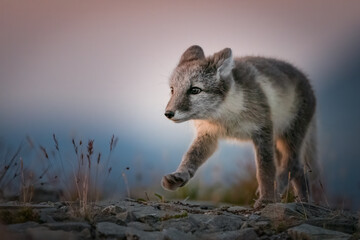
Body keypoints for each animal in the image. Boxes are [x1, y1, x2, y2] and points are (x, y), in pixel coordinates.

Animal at [162, 46, 318, 207]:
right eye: (172, 90)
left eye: (195, 90)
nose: (168, 113)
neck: (225, 116)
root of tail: (305, 78)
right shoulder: (208, 134)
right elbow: (190, 156)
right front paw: (179, 176)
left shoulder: (263, 130)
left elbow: (265, 169)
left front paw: (267, 199)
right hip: (278, 142)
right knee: (299, 169)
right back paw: (305, 203)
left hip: (290, 135)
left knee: (293, 163)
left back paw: (279, 192)